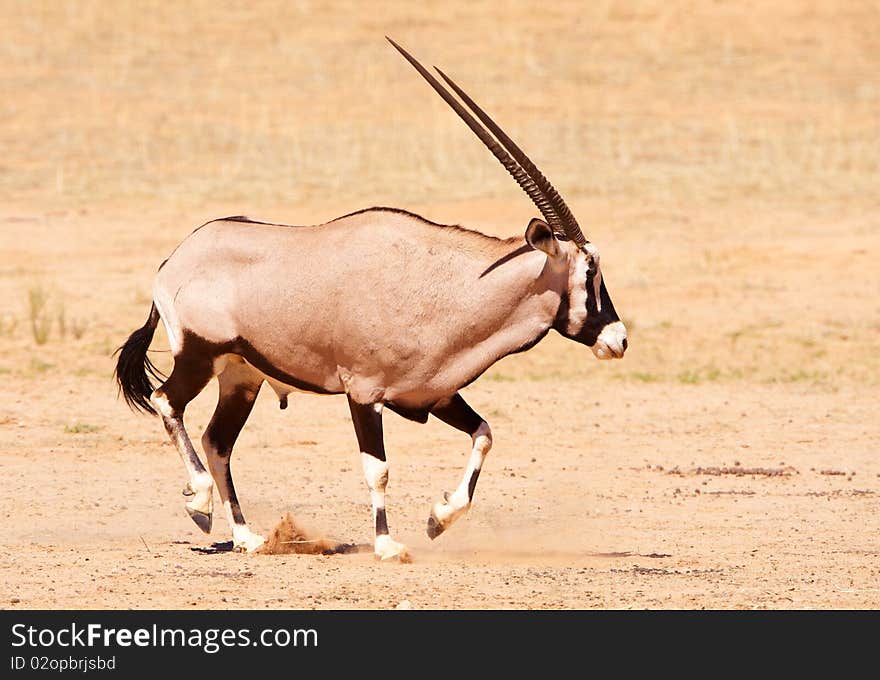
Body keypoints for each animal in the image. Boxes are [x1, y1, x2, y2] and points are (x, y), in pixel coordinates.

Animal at [115, 38, 624, 556]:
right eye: (589, 271)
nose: (618, 339)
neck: (446, 287)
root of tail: (175, 259)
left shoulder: (433, 394)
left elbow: (484, 433)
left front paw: (439, 519)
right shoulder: (364, 393)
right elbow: (378, 469)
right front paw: (386, 544)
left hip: (241, 377)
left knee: (218, 441)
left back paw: (247, 536)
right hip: (199, 356)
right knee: (167, 402)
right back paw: (200, 505)